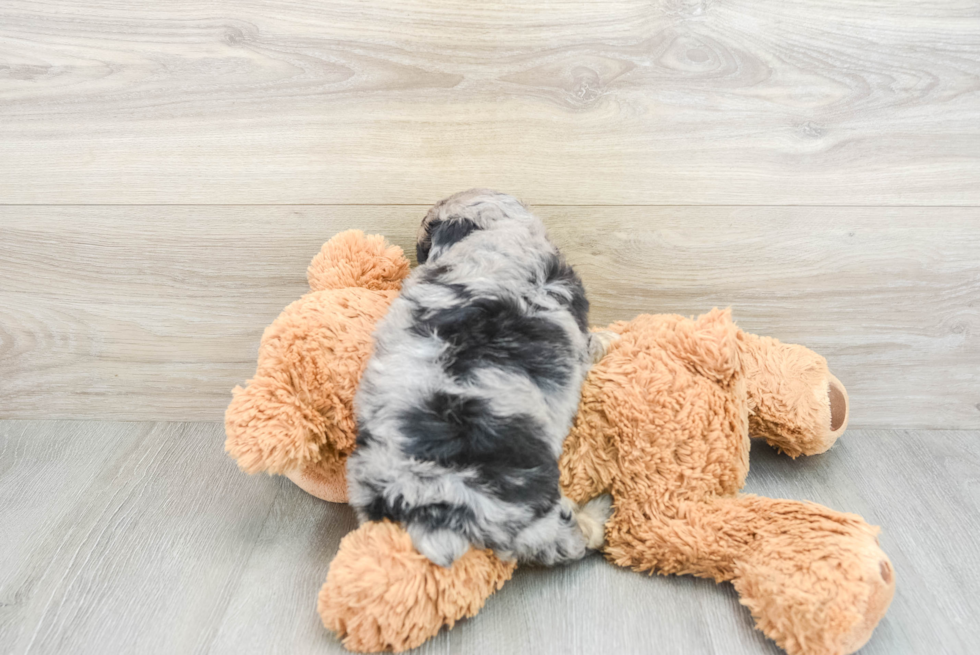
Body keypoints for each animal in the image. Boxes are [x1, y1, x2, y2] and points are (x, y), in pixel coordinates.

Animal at [350, 190, 612, 568]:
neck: (494, 233)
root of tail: (427, 500)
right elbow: (590, 343)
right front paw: (608, 341)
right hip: (533, 510)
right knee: (570, 540)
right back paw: (599, 510)